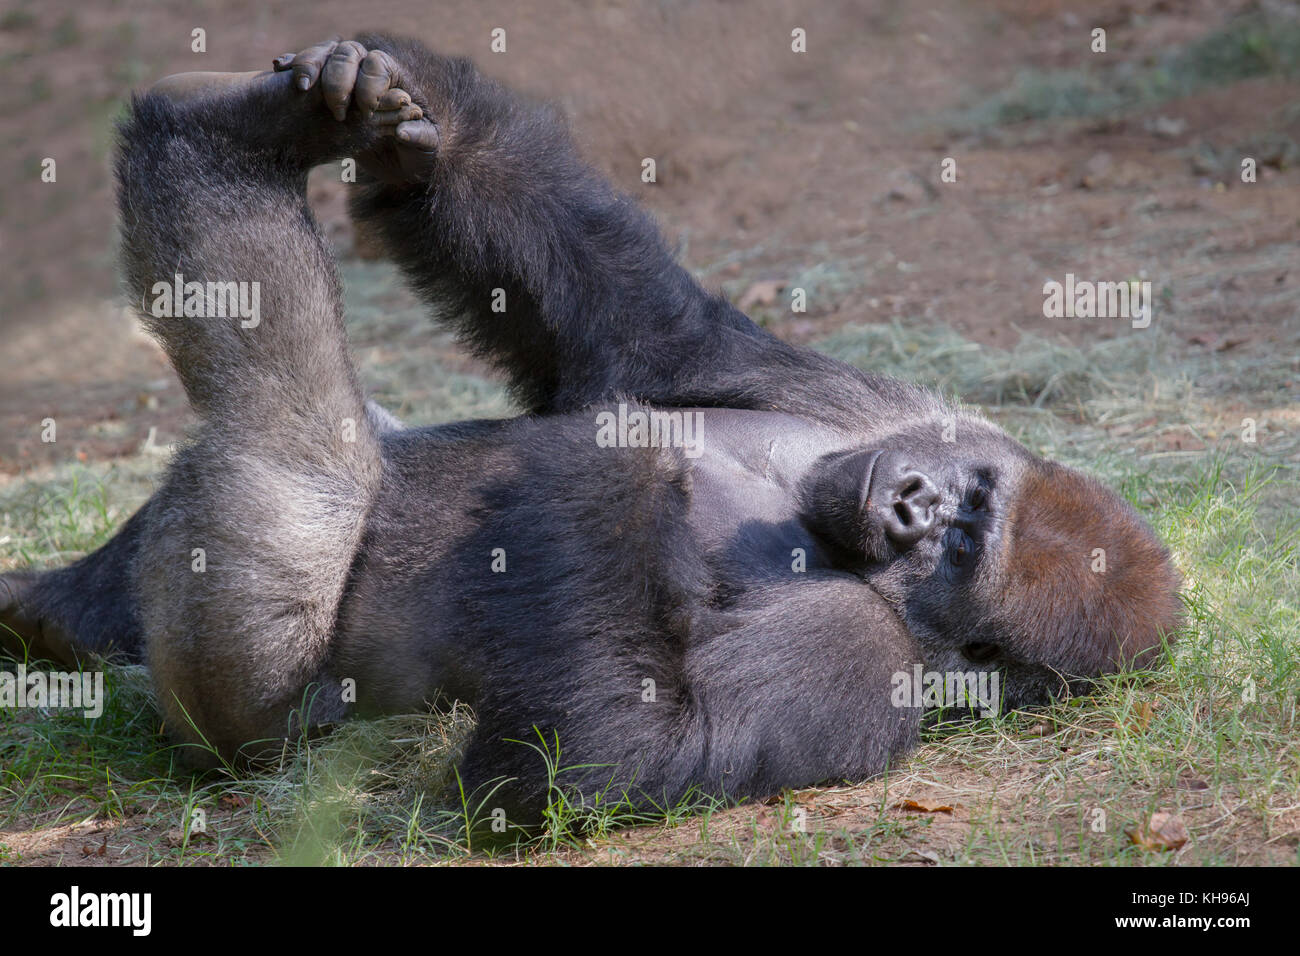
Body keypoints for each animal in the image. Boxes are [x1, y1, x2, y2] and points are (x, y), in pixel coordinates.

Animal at [0, 36, 1182, 824]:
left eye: (962, 546)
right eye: (965, 497)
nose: (910, 503)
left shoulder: (867, 658)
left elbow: (607, 751)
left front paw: (619, 476)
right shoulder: (867, 405)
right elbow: (636, 324)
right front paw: (420, 129)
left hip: (249, 695)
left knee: (298, 459)